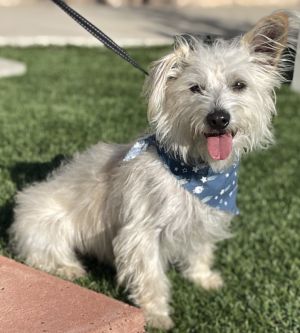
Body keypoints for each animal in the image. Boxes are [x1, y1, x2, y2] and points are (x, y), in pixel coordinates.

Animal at [8, 11, 298, 330]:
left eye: (239, 85)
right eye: (195, 88)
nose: (219, 118)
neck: (197, 172)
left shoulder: (203, 219)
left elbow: (200, 251)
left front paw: (203, 278)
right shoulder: (142, 232)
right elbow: (151, 277)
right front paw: (157, 316)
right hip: (47, 223)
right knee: (41, 254)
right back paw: (68, 268)